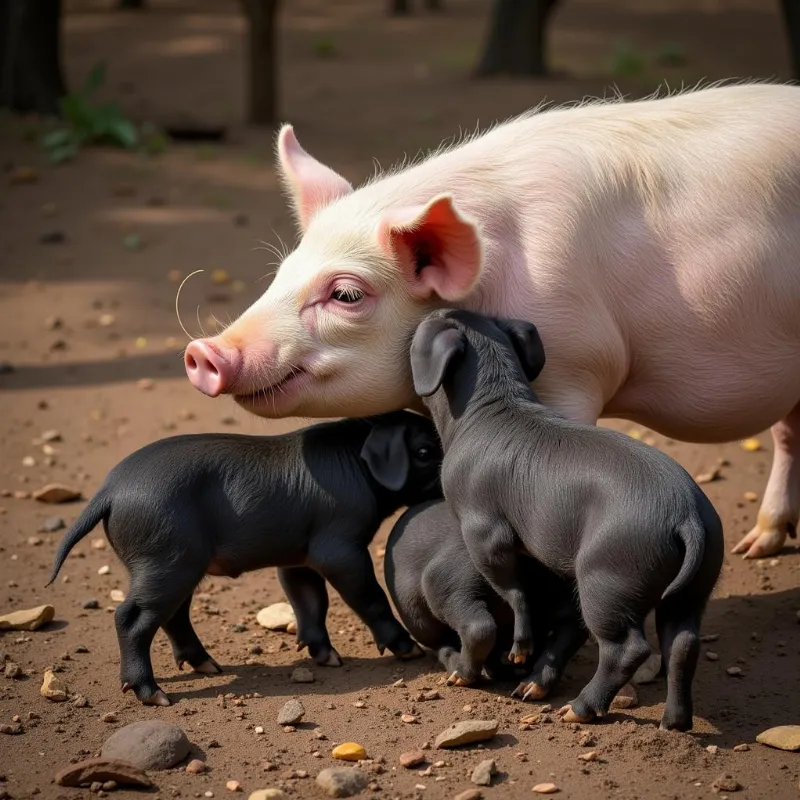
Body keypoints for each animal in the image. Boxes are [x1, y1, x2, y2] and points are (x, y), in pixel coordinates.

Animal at [47, 412, 444, 708]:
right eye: (425, 451)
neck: (358, 462)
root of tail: (108, 492)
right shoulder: (340, 547)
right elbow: (369, 597)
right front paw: (410, 651)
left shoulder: (298, 555)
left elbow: (309, 601)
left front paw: (327, 657)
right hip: (166, 558)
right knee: (131, 618)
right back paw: (156, 695)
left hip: (179, 564)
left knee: (174, 614)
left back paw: (209, 666)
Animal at [412, 308, 724, 732]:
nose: (431, 310)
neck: (490, 405)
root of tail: (686, 516)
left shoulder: (483, 527)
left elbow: (512, 588)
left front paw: (518, 654)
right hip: (697, 581)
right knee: (682, 642)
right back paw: (673, 724)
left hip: (608, 575)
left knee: (626, 648)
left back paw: (576, 710)